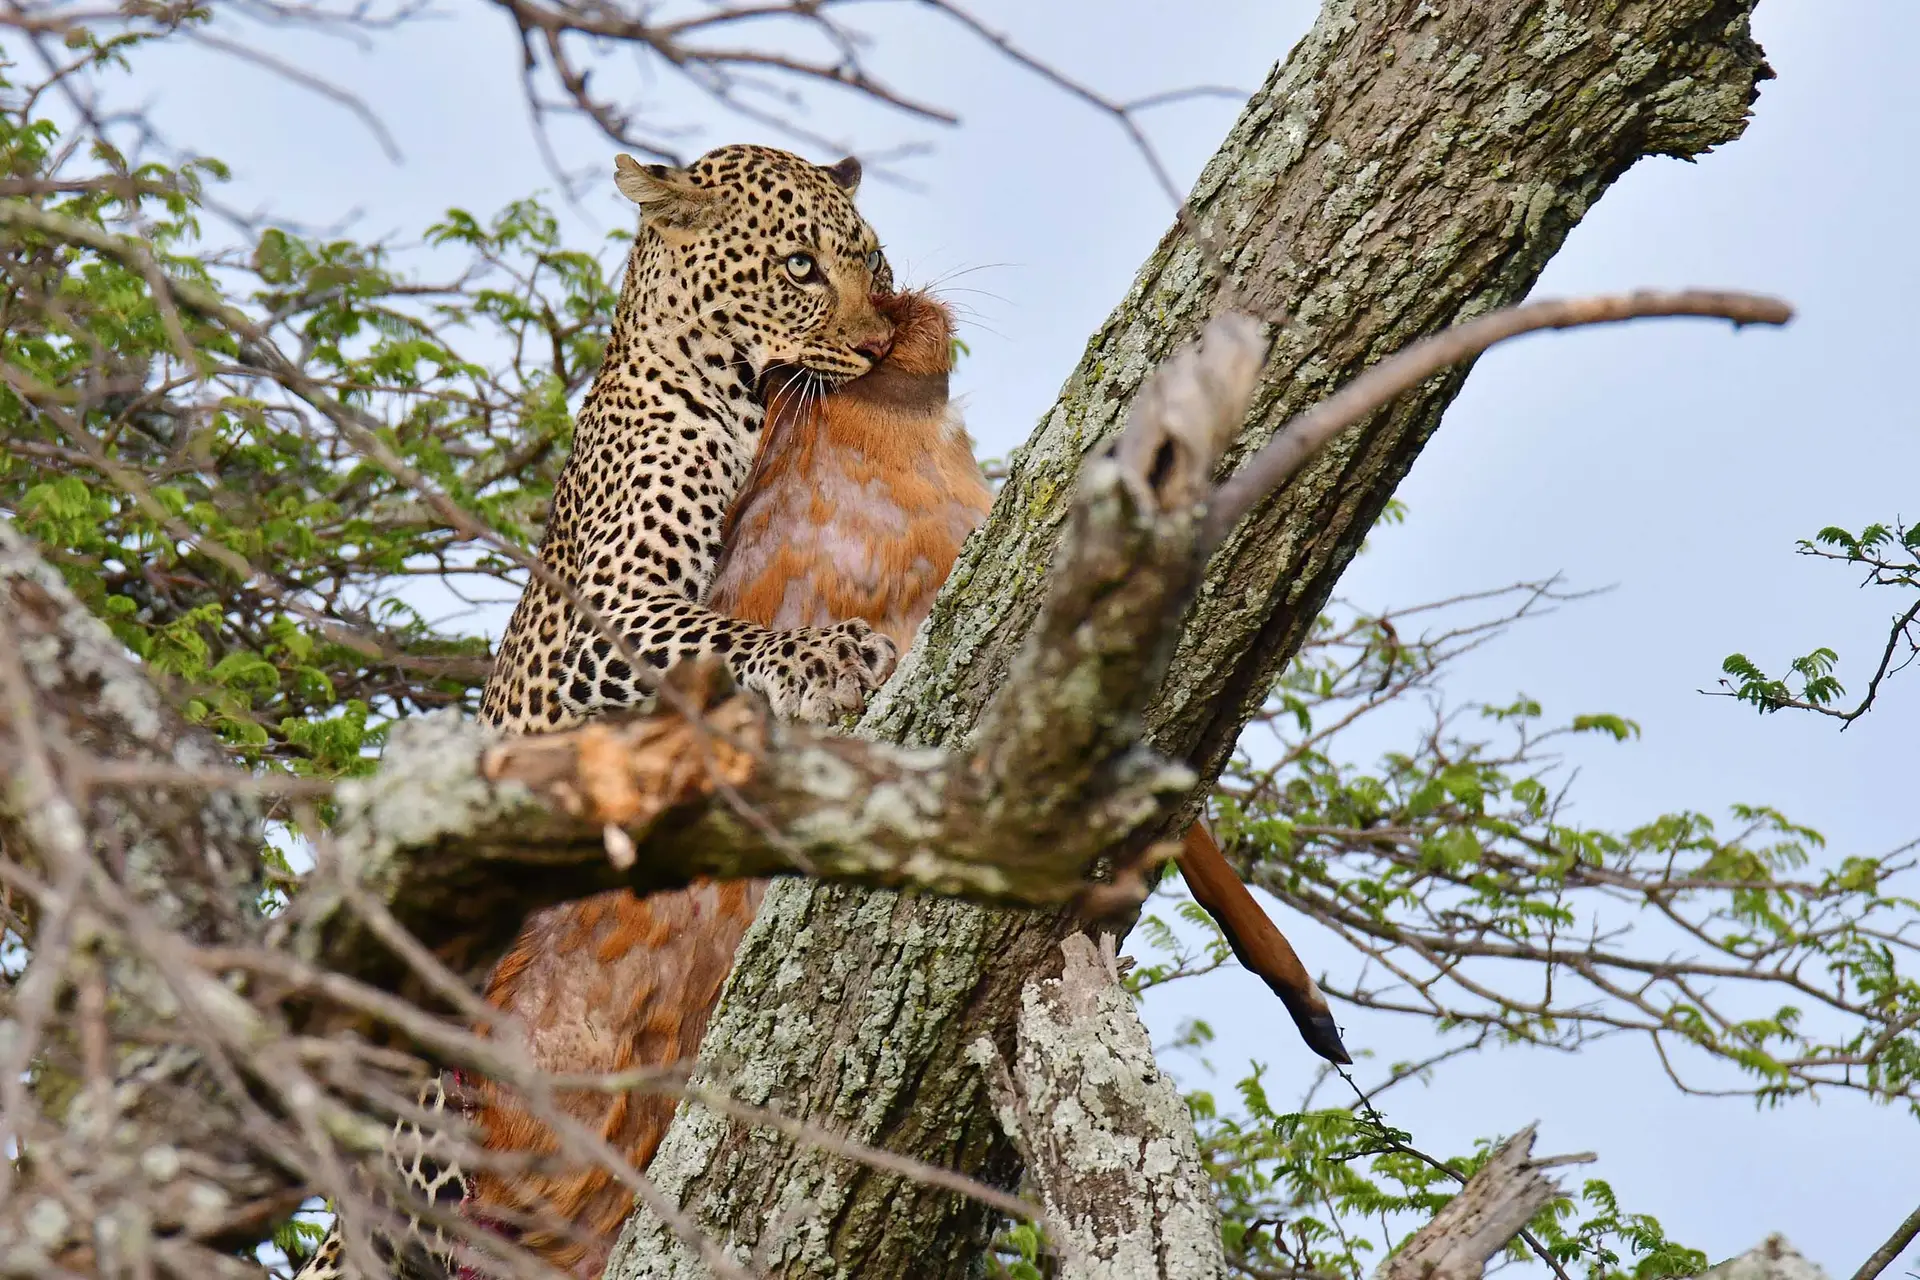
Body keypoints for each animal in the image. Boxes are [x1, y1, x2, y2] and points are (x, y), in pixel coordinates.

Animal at [293, 140, 906, 1280]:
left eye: (875, 263)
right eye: (801, 266)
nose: (882, 341)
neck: (725, 390)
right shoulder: (608, 619)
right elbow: (720, 638)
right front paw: (830, 656)